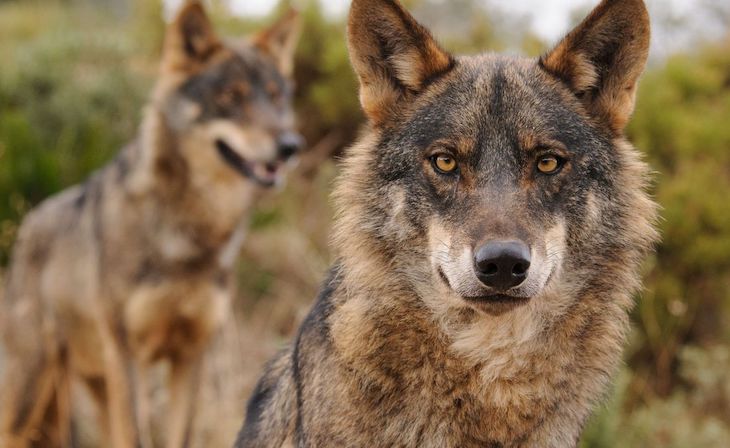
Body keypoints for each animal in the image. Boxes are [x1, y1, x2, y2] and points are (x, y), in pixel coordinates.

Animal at [0, 2, 302, 447]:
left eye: (277, 96)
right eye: (230, 97)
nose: (290, 146)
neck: (190, 235)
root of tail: (27, 223)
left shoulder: (191, 355)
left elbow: (182, 436)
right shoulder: (130, 356)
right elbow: (139, 435)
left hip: (93, 388)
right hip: (32, 395)